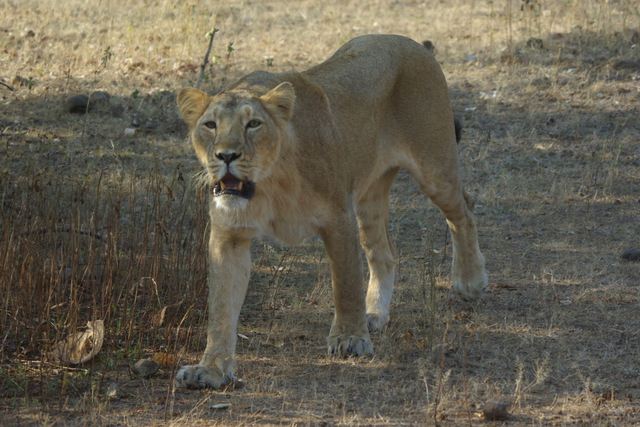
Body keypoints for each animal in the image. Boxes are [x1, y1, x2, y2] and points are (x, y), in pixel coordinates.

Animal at [174, 34, 488, 389]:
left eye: (253, 124)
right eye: (210, 125)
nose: (226, 155)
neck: (270, 183)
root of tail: (410, 42)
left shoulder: (338, 217)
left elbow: (346, 284)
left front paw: (350, 339)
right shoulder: (229, 235)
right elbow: (221, 308)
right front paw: (210, 369)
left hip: (434, 166)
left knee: (464, 210)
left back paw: (469, 280)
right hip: (370, 194)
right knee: (383, 253)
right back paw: (375, 315)